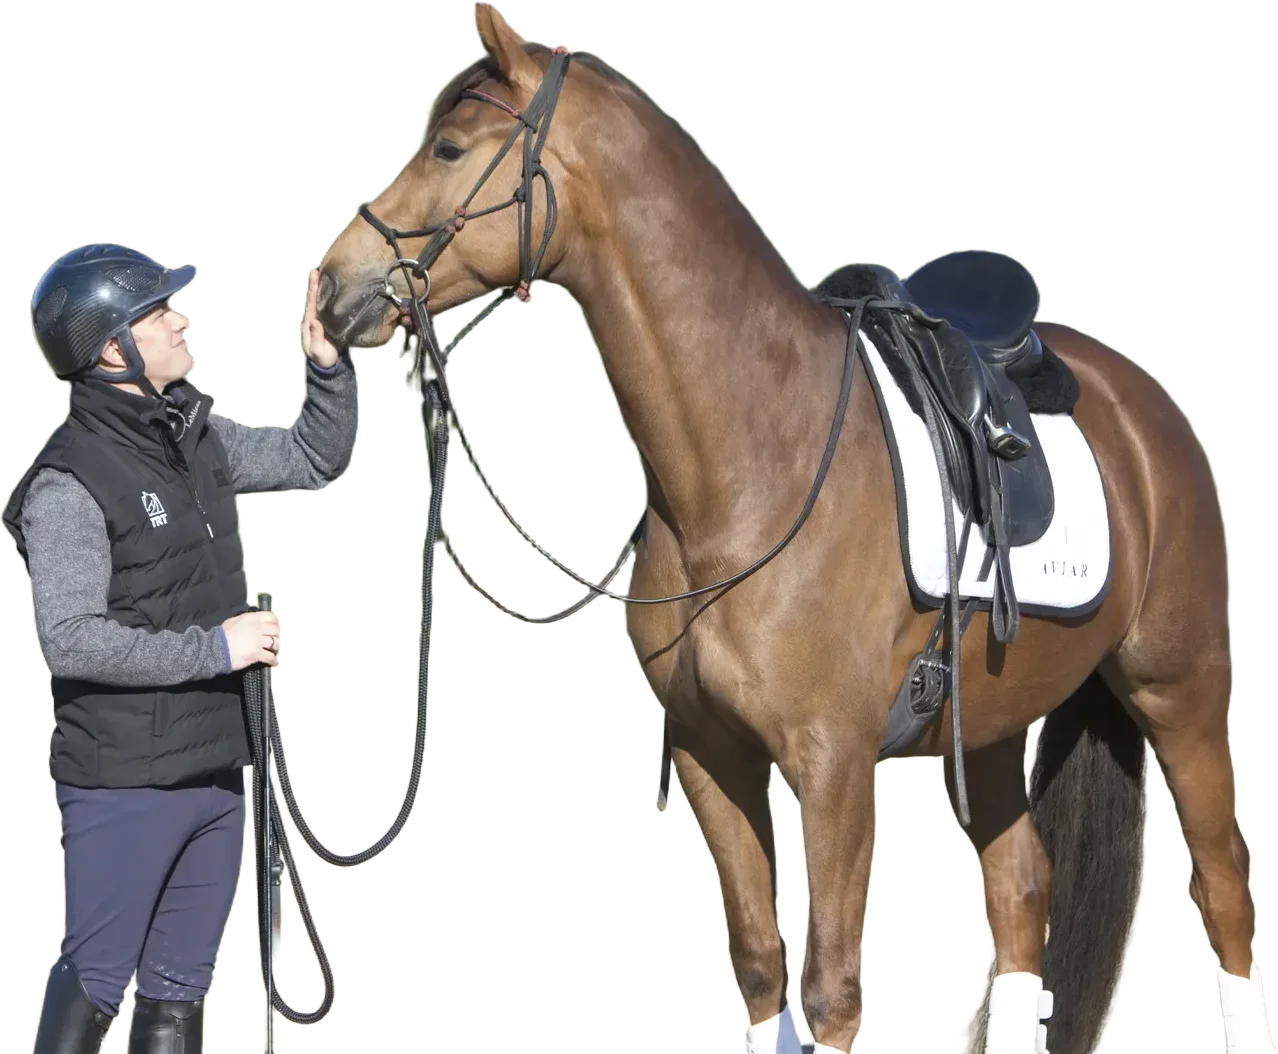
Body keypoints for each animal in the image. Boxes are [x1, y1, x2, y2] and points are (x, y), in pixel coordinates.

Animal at [312, 5, 1272, 1052]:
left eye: (449, 147)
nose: (332, 287)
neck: (752, 461)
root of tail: (1151, 414)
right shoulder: (712, 755)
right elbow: (760, 964)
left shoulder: (834, 768)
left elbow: (830, 988)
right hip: (988, 727)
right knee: (1022, 894)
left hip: (1179, 690)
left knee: (1224, 886)